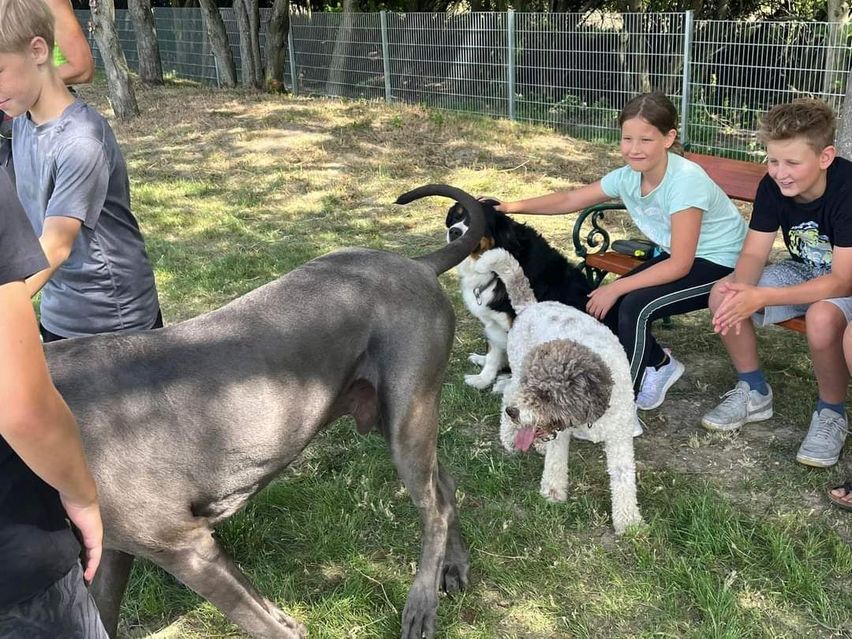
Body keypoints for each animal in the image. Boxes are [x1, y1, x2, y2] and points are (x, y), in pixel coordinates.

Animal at [446, 199, 592, 390]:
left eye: (479, 222)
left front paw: (507, 386)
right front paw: (483, 379)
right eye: (457, 216)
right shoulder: (492, 323)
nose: (454, 232)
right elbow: (492, 353)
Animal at [476, 249, 644, 536]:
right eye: (534, 386)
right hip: (517, 370)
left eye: (547, 395)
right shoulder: (560, 431)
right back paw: (509, 437)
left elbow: (623, 478)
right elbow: (556, 463)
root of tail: (531, 305)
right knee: (508, 392)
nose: (515, 413)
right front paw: (552, 494)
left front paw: (629, 521)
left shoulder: (619, 437)